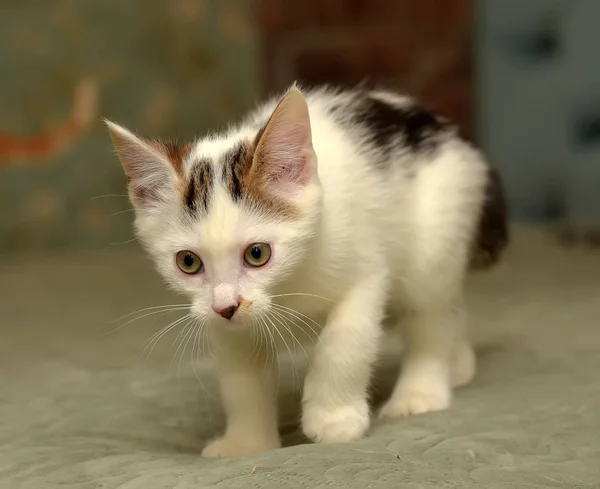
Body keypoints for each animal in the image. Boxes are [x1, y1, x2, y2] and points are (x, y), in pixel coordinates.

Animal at [106, 83, 506, 458]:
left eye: (257, 254)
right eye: (188, 262)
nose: (227, 306)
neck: (289, 286)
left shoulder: (364, 272)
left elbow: (343, 344)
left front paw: (333, 420)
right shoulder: (225, 323)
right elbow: (241, 379)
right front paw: (246, 443)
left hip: (432, 241)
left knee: (430, 316)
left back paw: (420, 393)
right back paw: (459, 363)